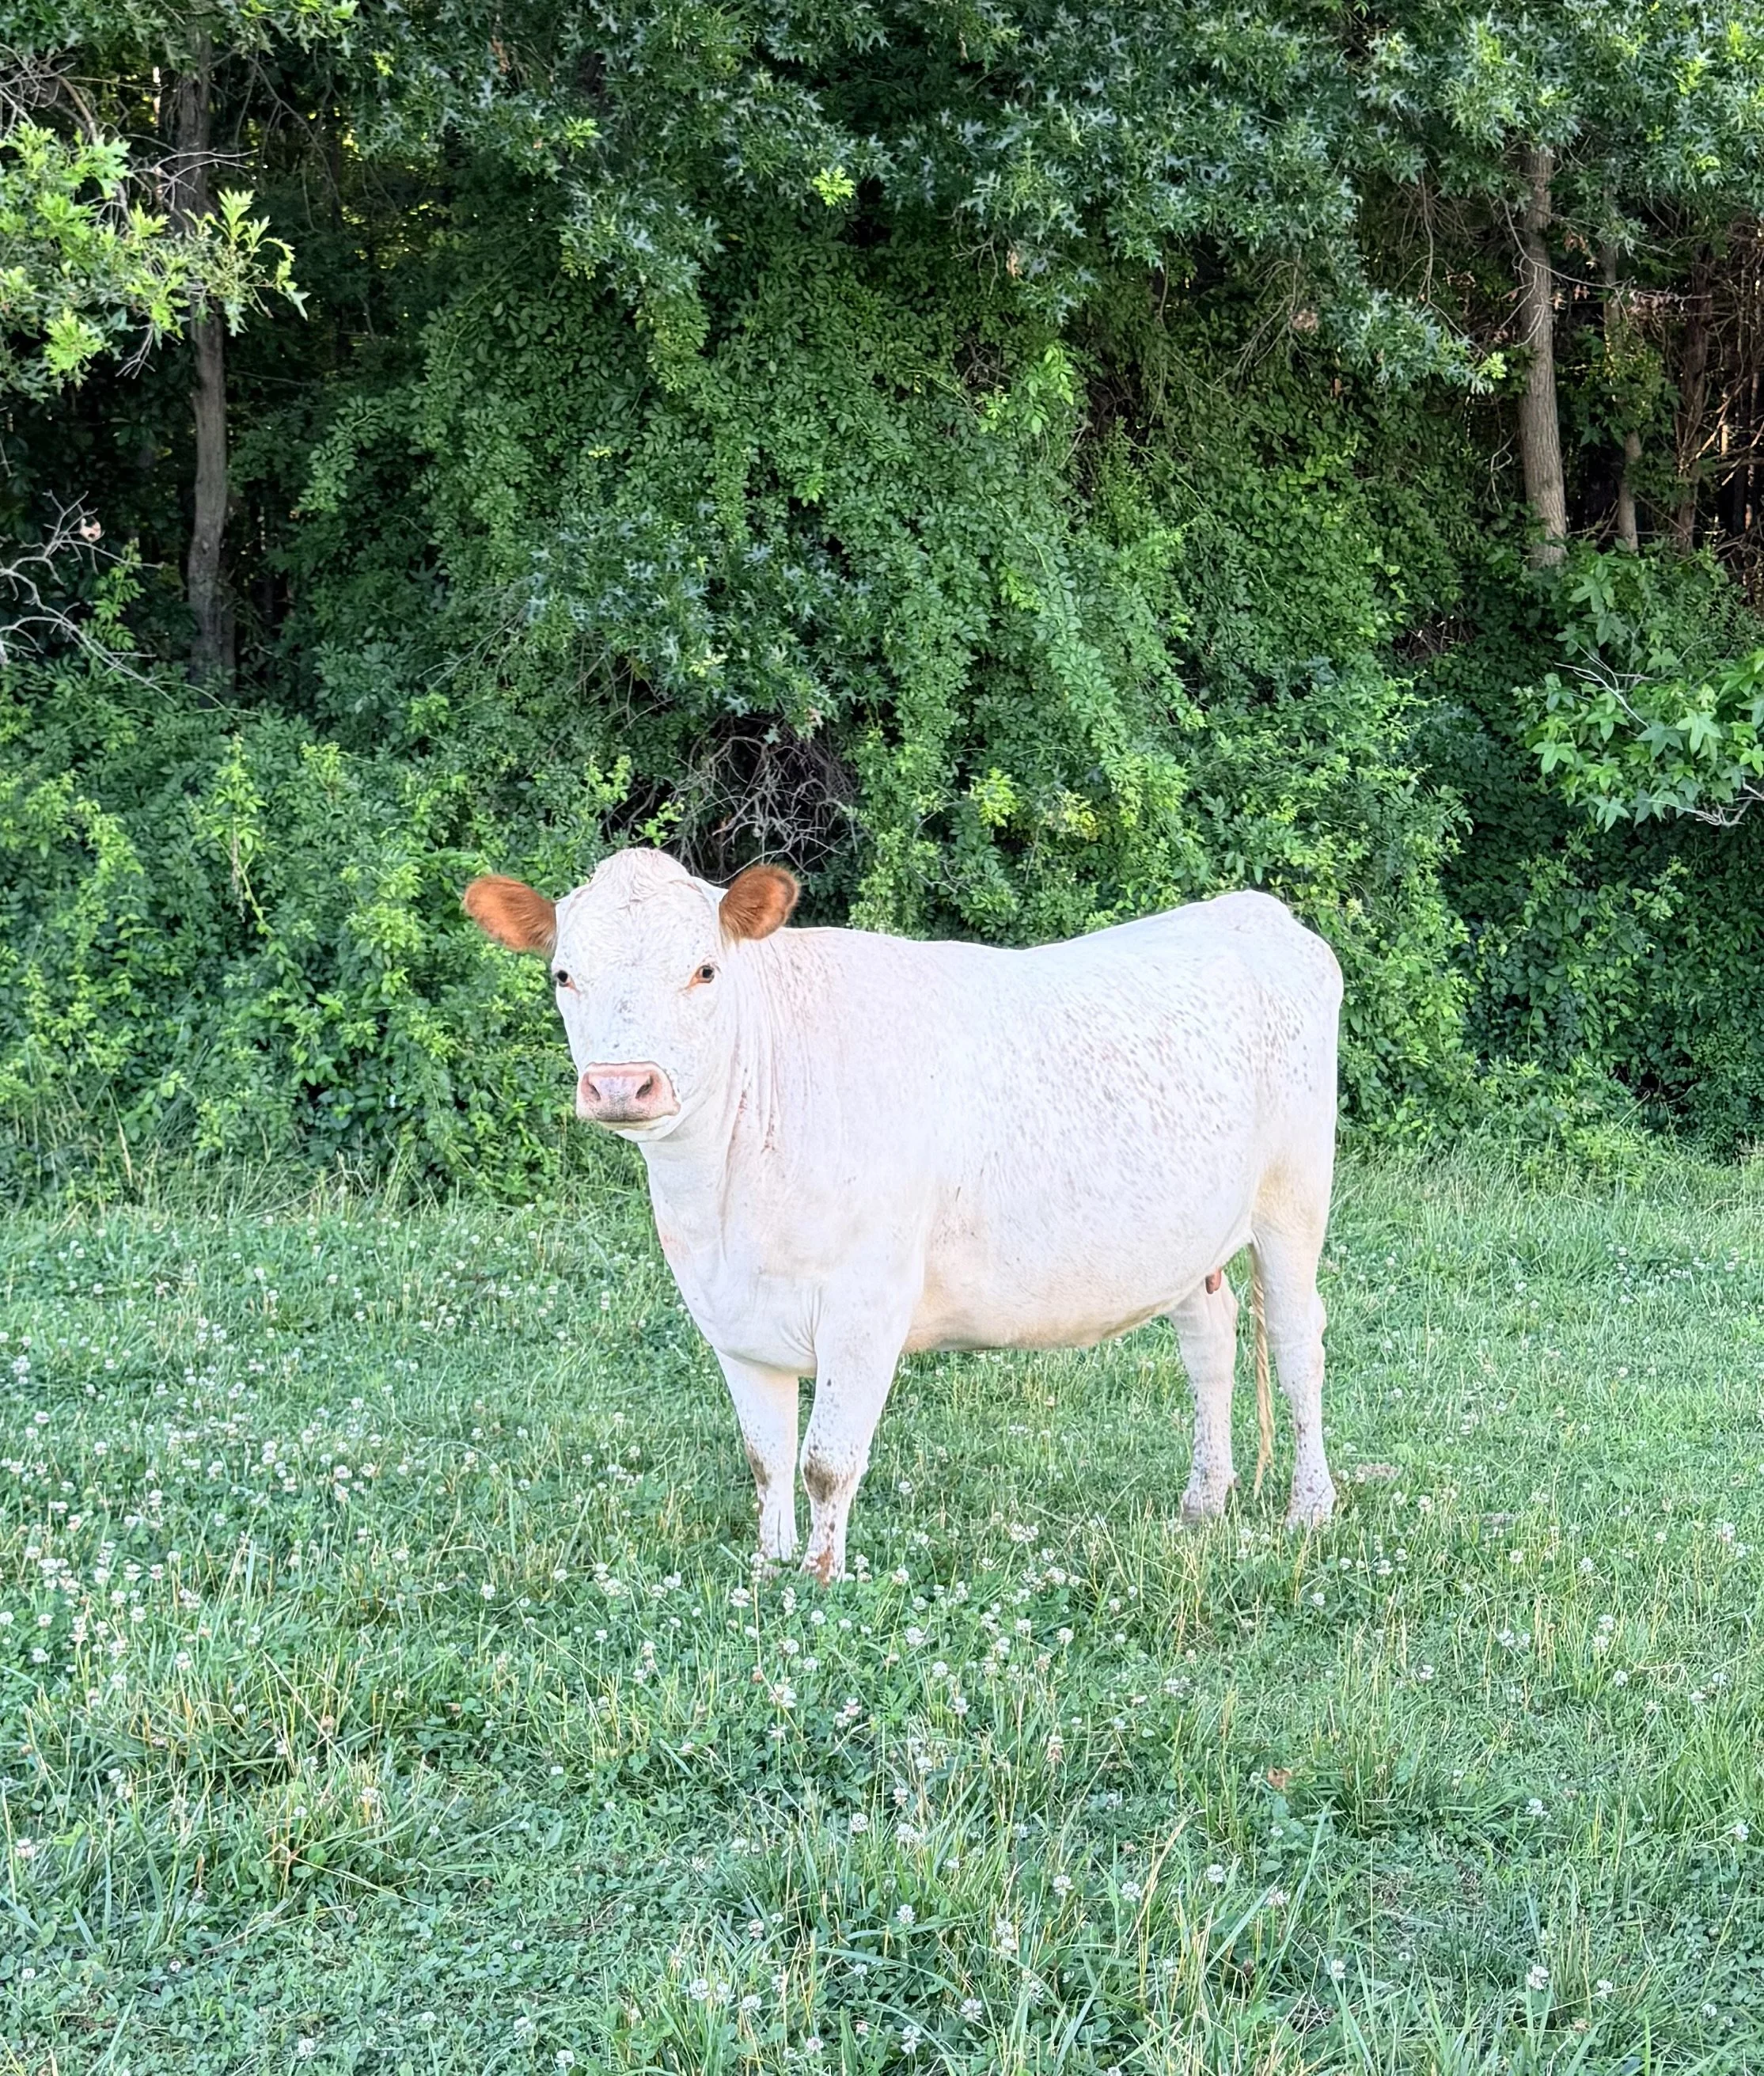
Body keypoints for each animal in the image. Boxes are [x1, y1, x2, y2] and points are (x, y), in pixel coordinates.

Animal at [464, 849, 1341, 1580]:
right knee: (1210, 1343)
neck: (723, 1204)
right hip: (1189, 1238)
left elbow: (826, 1459)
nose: (621, 1084)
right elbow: (765, 1454)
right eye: (563, 974)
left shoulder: (867, 1302)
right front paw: (768, 1566)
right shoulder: (729, 1315)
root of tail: (1252, 909)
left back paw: (1309, 1508)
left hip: (1293, 1199)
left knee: (1297, 1344)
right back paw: (1202, 1503)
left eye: (705, 970)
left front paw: (821, 1576)